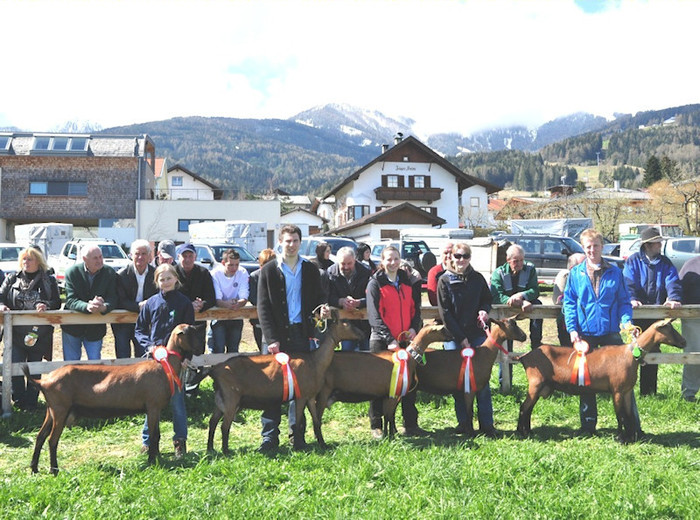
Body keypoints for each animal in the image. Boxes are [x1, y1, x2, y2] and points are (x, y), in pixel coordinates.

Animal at [25, 324, 205, 476]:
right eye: (191, 332)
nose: (201, 349)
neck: (163, 366)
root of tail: (44, 382)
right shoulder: (153, 407)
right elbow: (154, 435)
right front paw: (152, 461)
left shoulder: (155, 408)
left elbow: (158, 434)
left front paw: (156, 458)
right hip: (60, 410)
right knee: (52, 440)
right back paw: (54, 470)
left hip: (52, 410)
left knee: (40, 437)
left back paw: (34, 469)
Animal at [206, 316, 360, 450]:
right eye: (347, 323)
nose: (362, 334)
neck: (315, 361)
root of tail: (215, 369)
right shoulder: (301, 396)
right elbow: (297, 421)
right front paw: (298, 446)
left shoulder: (310, 396)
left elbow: (316, 421)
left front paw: (323, 444)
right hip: (231, 398)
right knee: (224, 426)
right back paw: (226, 451)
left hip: (221, 399)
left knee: (212, 422)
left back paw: (210, 449)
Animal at [314, 324, 448, 442]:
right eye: (442, 329)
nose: (451, 335)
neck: (409, 357)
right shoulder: (392, 394)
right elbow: (388, 416)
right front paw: (389, 437)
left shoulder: (391, 394)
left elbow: (390, 415)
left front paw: (390, 434)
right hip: (322, 393)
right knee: (316, 420)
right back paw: (322, 443)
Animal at [516, 318, 688, 440]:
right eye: (669, 328)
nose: (684, 342)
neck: (630, 355)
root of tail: (525, 356)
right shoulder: (617, 390)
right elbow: (620, 415)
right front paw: (621, 438)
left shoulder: (626, 391)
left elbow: (629, 415)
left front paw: (632, 436)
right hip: (535, 384)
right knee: (524, 407)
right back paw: (521, 433)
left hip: (540, 387)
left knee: (528, 408)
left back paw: (529, 431)